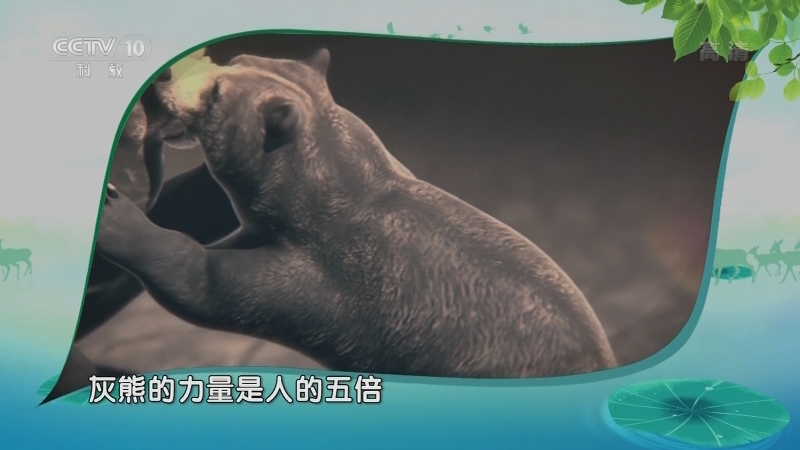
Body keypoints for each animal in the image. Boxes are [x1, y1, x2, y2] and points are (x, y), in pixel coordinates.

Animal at [96, 48, 617, 378]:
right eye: (236, 61)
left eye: (218, 92)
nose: (164, 77)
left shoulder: (334, 278)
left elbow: (207, 287)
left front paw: (118, 217)